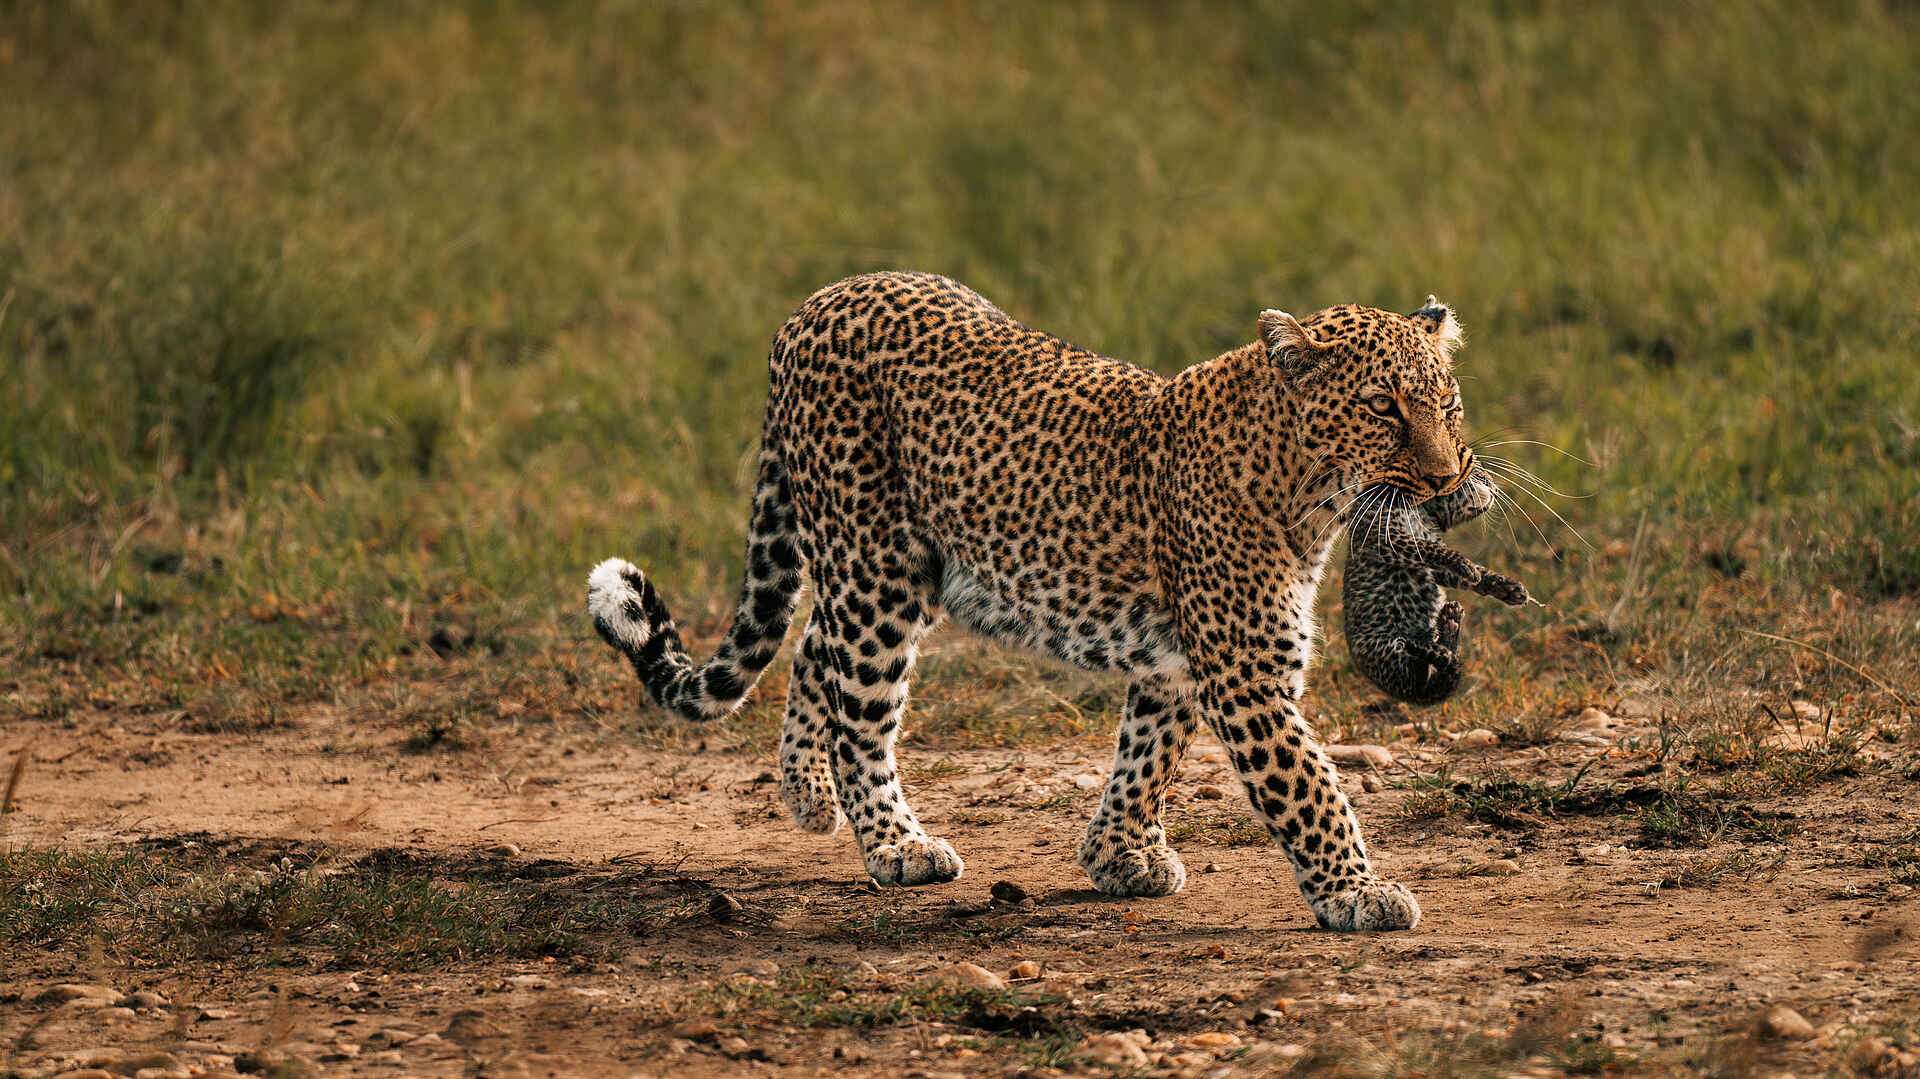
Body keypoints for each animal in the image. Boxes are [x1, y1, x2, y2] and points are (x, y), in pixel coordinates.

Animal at [587, 271, 1492, 931]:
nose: (1448, 476)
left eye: (1447, 401)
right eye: (1382, 408)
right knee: (861, 711)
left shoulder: (1176, 659)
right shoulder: (1245, 674)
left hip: (899, 566)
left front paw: (1118, 854)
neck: (1306, 490)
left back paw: (809, 791)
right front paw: (1357, 892)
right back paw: (895, 843)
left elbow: (1148, 754)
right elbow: (1309, 788)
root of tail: (812, 304)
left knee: (816, 646)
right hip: (875, 565)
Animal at [1343, 471, 1532, 706]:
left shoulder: (1431, 564)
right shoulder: (1385, 538)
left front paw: (1507, 588)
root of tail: (1411, 696)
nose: (1496, 490)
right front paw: (1466, 565)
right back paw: (1431, 638)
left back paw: (1448, 624)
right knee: (1424, 669)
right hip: (1386, 651)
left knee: (1442, 665)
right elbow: (1432, 549)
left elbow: (1457, 570)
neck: (1419, 508)